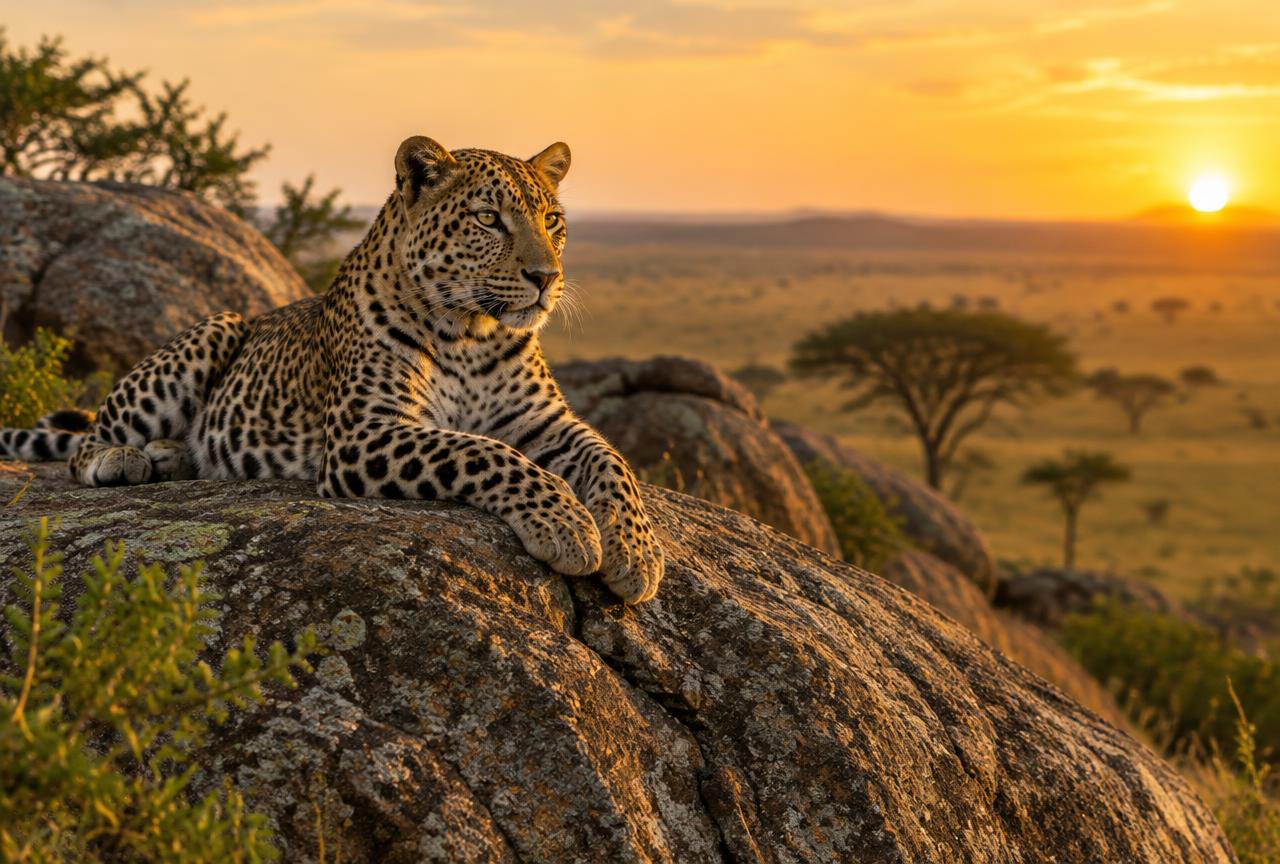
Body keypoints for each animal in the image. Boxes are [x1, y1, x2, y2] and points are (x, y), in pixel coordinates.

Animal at [0, 136, 663, 603]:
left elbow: (612, 460)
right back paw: (126, 458)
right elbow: (483, 452)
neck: (474, 333)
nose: (546, 276)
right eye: (487, 219)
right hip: (217, 327)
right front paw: (568, 525)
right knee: (84, 445)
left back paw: (170, 456)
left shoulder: (545, 422)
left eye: (552, 220)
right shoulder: (364, 432)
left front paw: (636, 554)